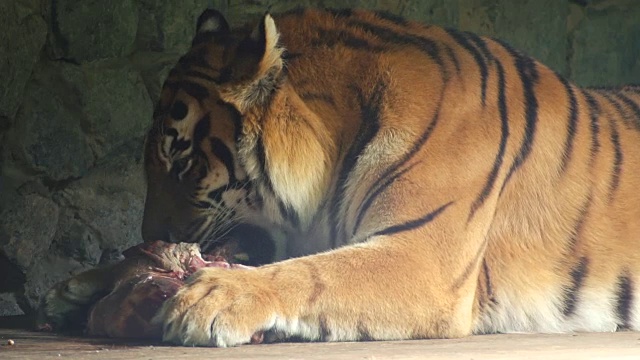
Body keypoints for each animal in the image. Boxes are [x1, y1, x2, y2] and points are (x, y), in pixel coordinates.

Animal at [46, 7, 640, 348]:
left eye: (183, 163)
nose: (154, 241)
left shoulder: (422, 255)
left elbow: (313, 274)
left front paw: (213, 298)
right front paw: (84, 284)